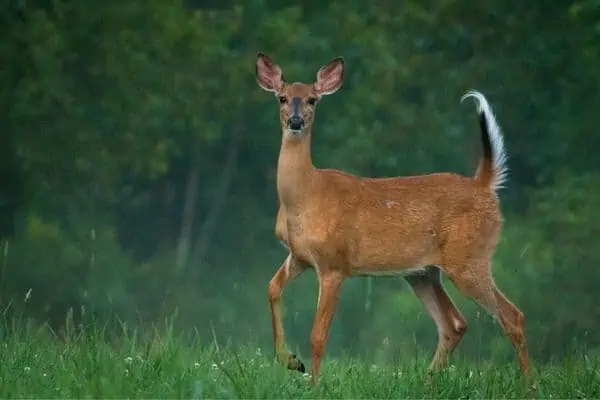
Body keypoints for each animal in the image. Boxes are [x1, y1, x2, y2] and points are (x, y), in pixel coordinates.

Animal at [255, 53, 528, 384]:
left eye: (312, 99)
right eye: (282, 98)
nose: (296, 121)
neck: (306, 195)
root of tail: (484, 184)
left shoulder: (335, 264)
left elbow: (318, 335)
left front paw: (315, 384)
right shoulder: (300, 256)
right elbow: (271, 288)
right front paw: (291, 361)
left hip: (469, 258)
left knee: (512, 316)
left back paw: (530, 385)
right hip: (423, 273)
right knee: (455, 324)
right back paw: (427, 382)